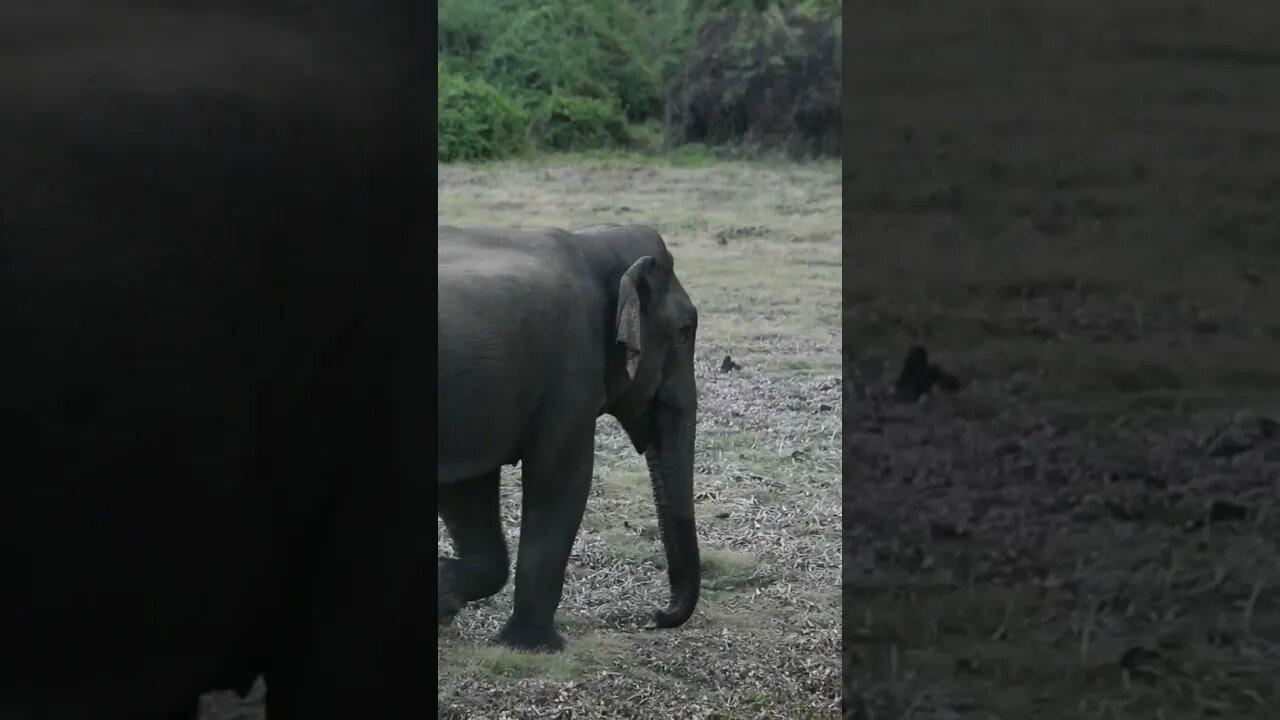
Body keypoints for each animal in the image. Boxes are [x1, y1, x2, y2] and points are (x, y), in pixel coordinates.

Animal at [437, 221, 701, 648]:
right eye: (683, 332)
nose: (655, 617)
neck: (589, 244)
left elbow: (468, 485)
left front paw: (442, 593)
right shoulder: (571, 369)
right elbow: (562, 479)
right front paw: (532, 646)